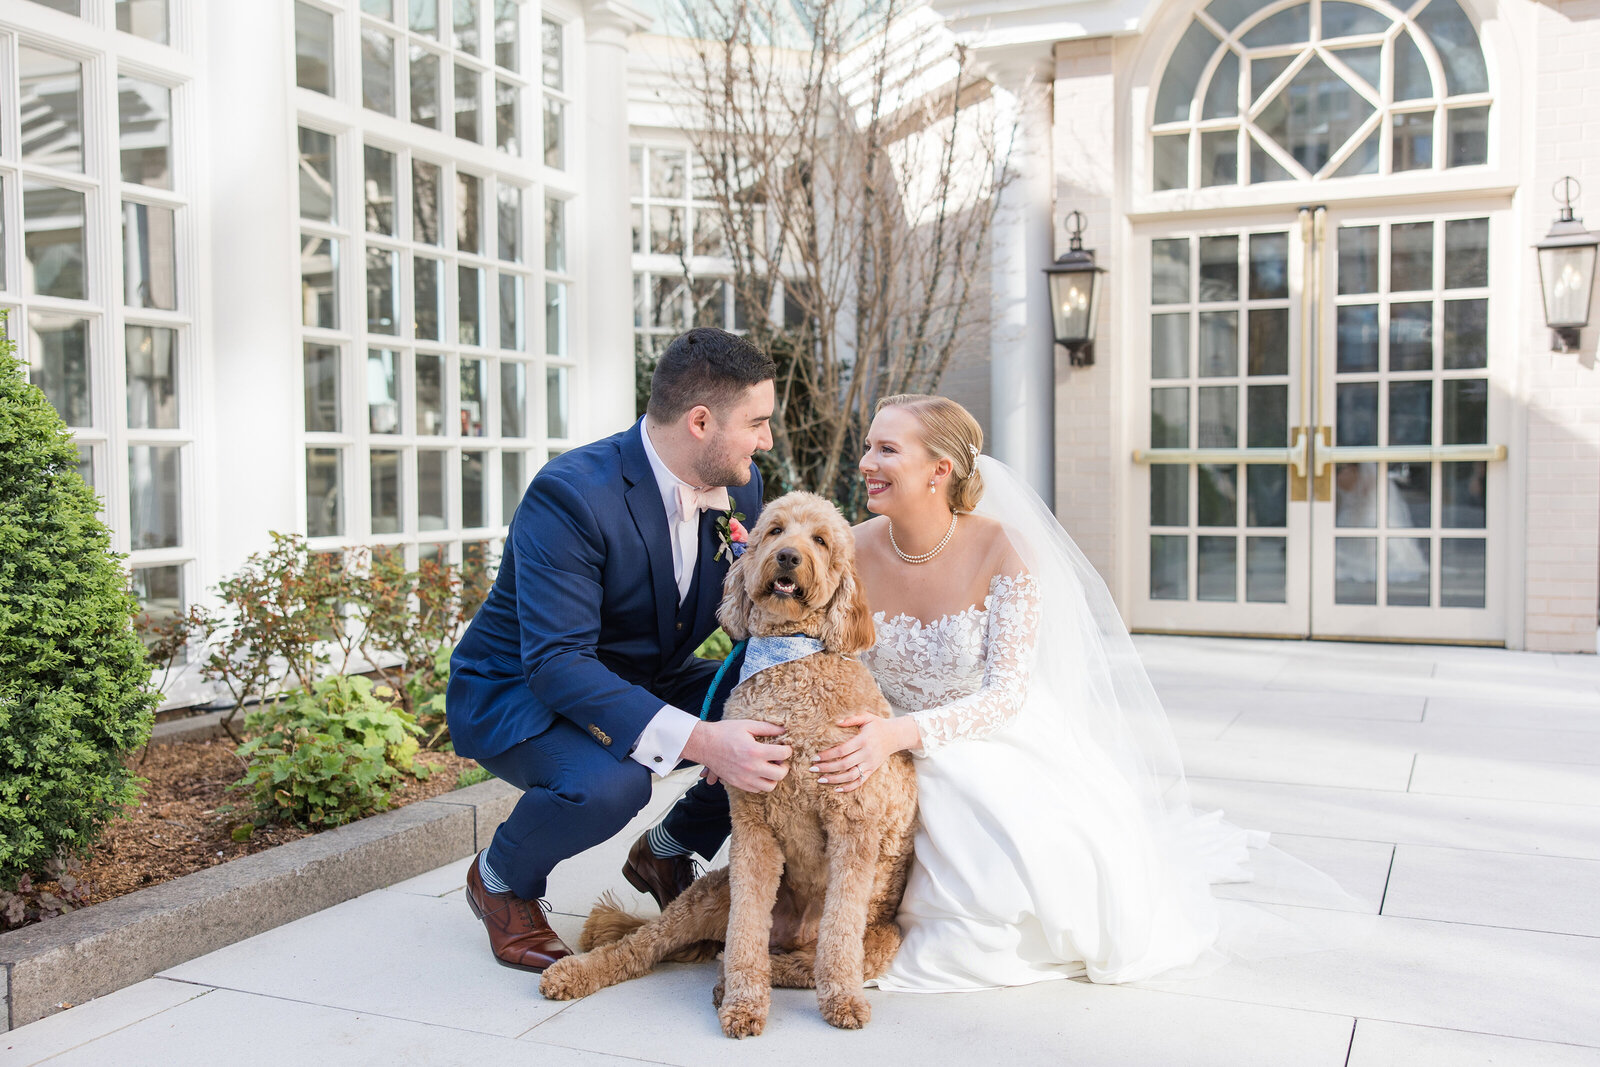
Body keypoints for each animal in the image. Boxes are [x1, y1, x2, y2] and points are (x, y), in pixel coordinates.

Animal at [534, 489, 915, 1036]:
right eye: (775, 531)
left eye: (821, 541)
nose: (788, 557)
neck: (790, 661)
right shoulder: (753, 824)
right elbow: (745, 931)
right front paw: (743, 1002)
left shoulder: (853, 827)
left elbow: (840, 935)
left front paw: (840, 1001)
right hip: (711, 895)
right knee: (645, 945)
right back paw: (580, 972)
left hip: (883, 937)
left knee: (810, 960)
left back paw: (754, 975)